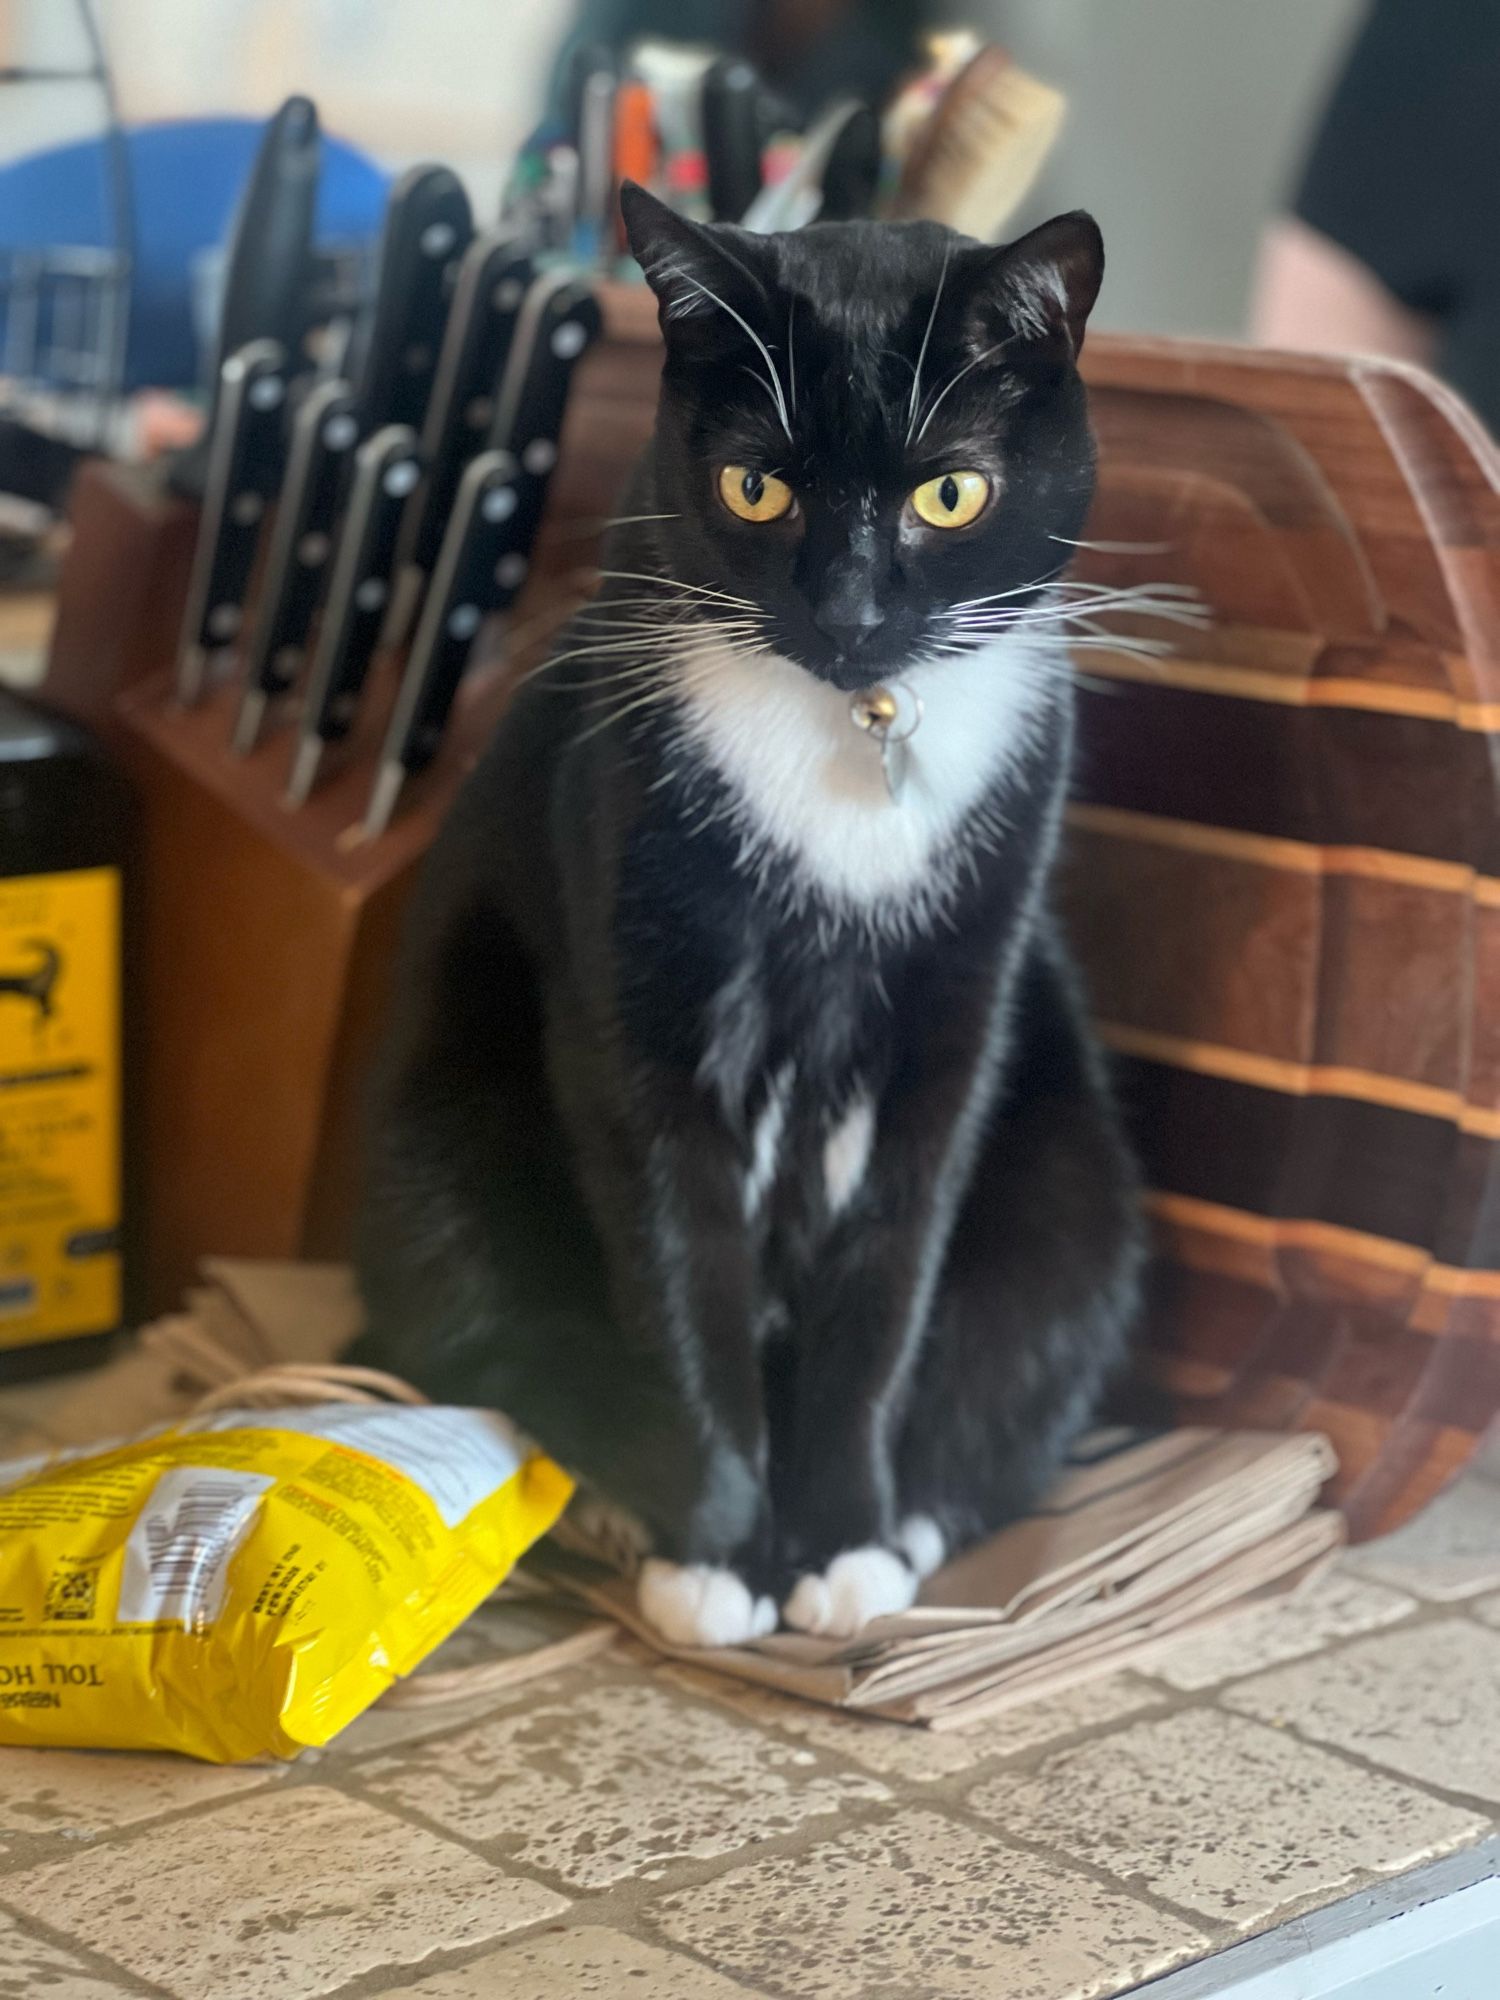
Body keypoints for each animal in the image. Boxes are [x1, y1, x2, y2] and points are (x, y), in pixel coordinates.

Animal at [358, 188, 1144, 1648]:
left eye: (952, 491)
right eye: (754, 484)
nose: (848, 611)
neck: (850, 730)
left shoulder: (958, 1014)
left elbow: (889, 1288)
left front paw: (842, 1542)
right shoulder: (637, 1001)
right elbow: (680, 1277)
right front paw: (717, 1550)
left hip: (1072, 1187)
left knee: (1017, 1358)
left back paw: (909, 1525)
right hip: (439, 1128)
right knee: (482, 1308)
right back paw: (615, 1507)